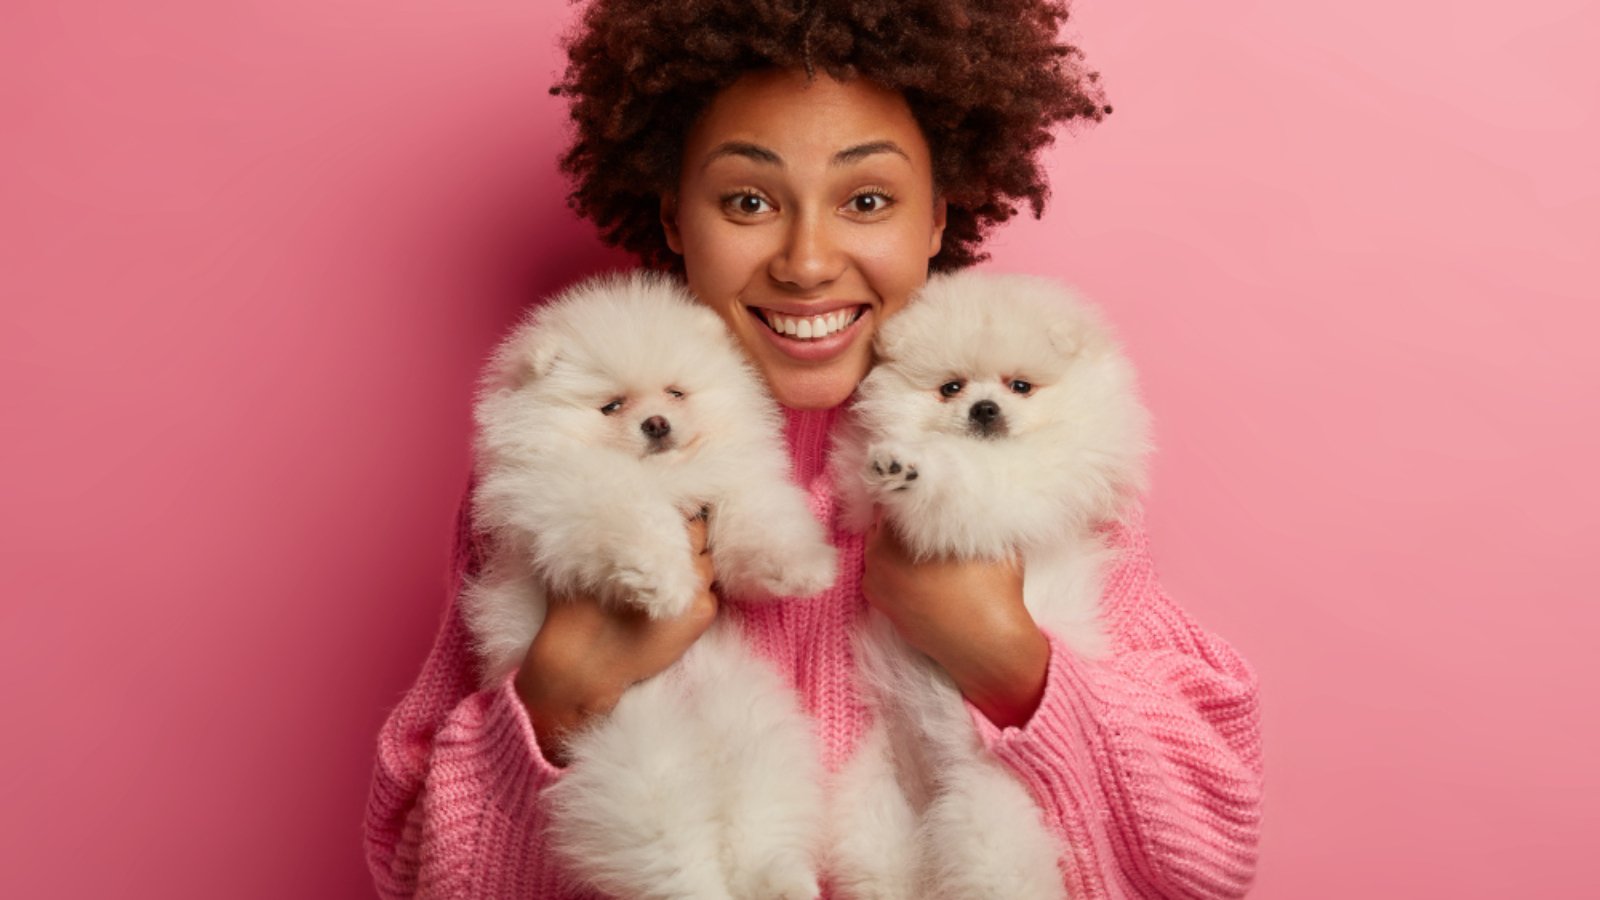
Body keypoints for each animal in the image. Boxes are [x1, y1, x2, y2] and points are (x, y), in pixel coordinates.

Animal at [464, 272, 838, 896]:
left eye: (677, 394)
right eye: (612, 405)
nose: (656, 423)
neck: (667, 478)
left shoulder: (732, 487)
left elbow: (757, 521)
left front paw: (799, 566)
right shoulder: (569, 495)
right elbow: (632, 513)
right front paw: (665, 582)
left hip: (760, 745)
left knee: (759, 825)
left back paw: (783, 879)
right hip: (636, 779)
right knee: (679, 861)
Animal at [825, 267, 1152, 896]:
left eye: (1020, 386)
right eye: (950, 388)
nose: (983, 408)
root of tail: (932, 784)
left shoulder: (1020, 488)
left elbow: (967, 480)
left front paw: (916, 470)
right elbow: (860, 481)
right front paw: (880, 467)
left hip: (989, 810)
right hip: (873, 799)